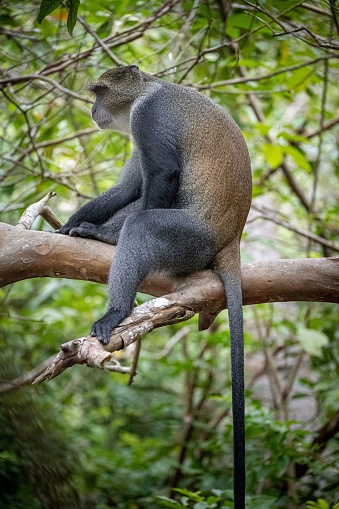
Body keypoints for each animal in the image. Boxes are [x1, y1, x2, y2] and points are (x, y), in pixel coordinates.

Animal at [58, 64, 252, 508]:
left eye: (99, 92)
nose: (93, 108)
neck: (147, 89)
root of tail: (230, 240)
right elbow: (129, 187)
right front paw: (67, 224)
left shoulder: (147, 118)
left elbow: (160, 176)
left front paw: (102, 236)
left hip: (188, 240)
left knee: (142, 222)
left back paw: (115, 301)